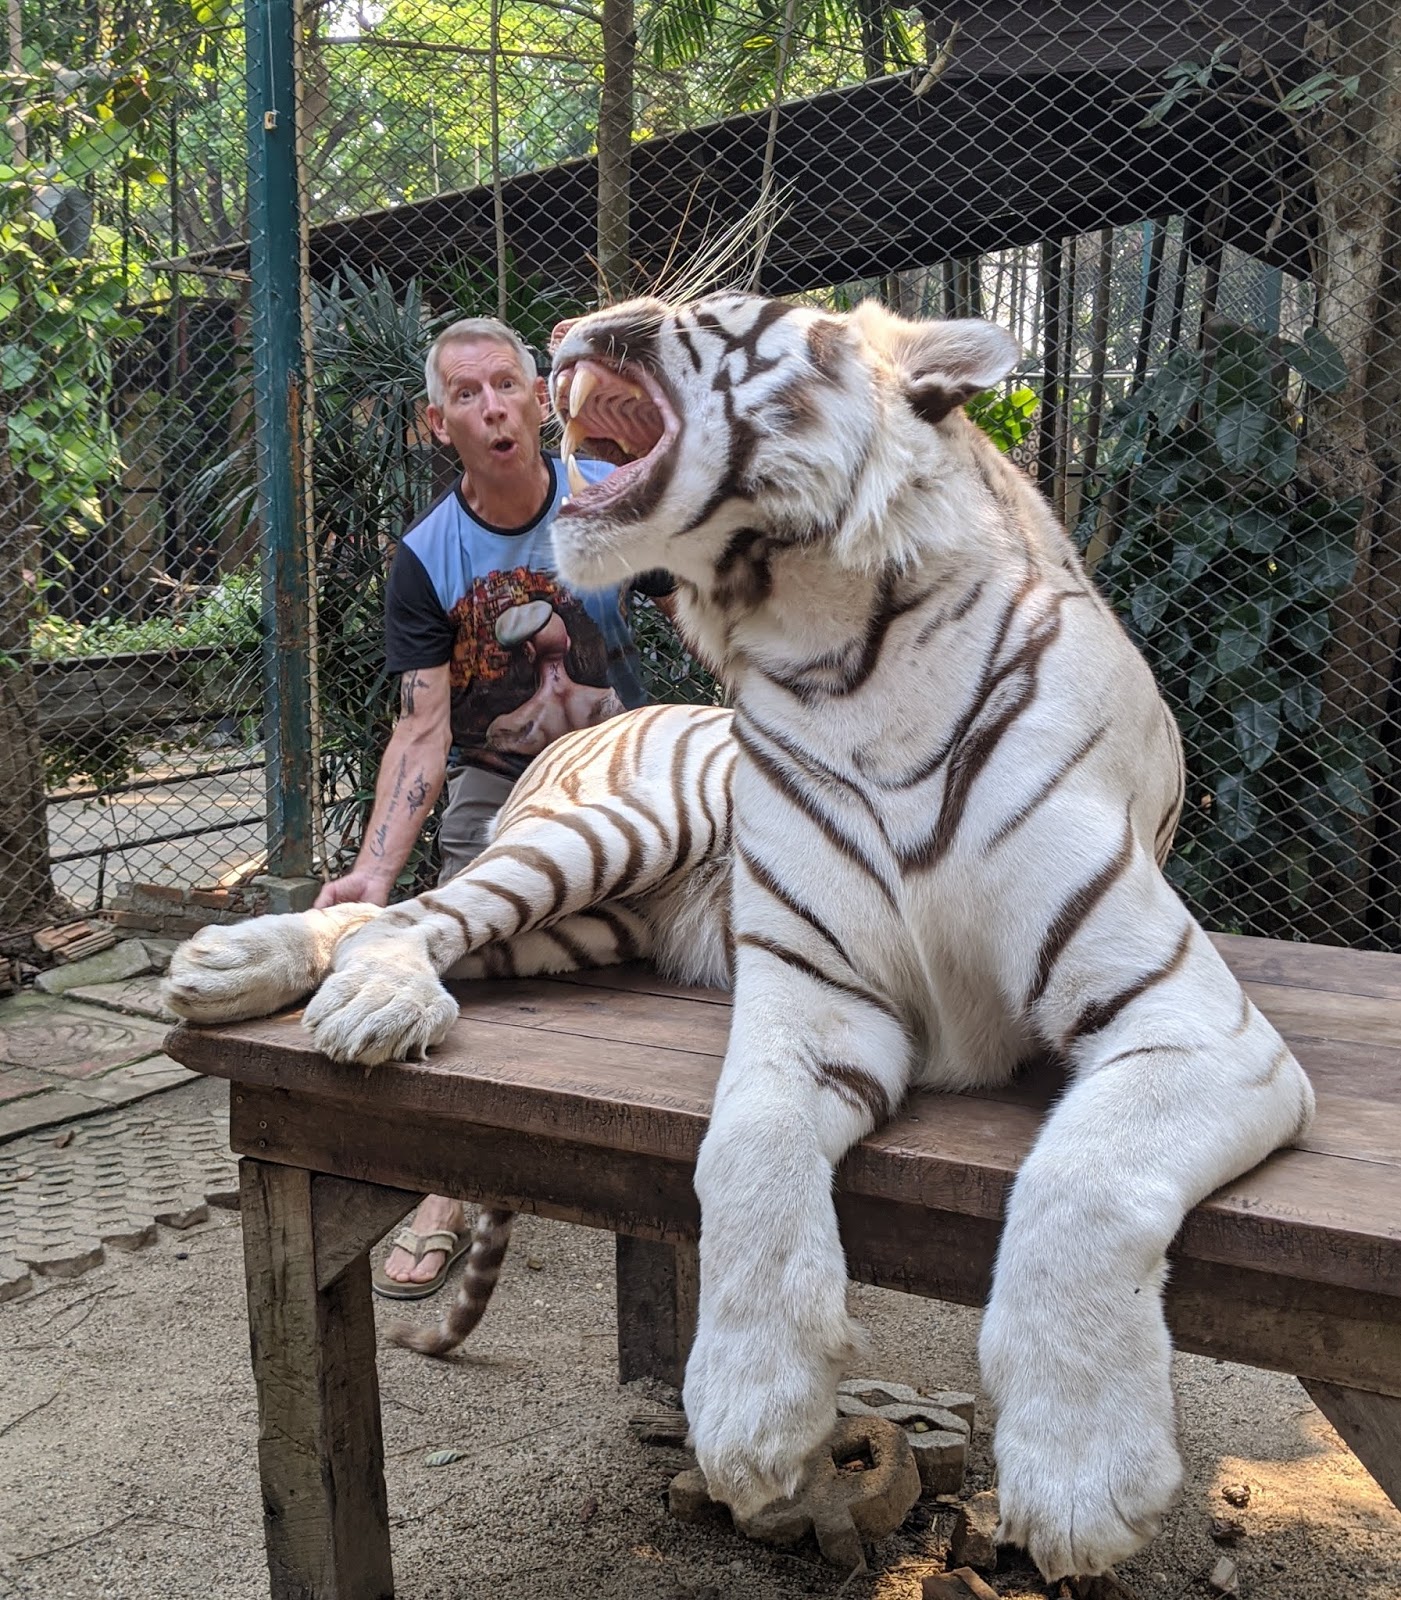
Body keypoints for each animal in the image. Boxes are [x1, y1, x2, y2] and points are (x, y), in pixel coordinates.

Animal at [163, 294, 1311, 1580]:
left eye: (709, 316)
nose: (571, 325)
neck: (845, 663)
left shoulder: (1191, 1022)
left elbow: (1086, 1175)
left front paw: (1077, 1476)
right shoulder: (811, 998)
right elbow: (746, 1153)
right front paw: (752, 1414)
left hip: (581, 928)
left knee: (399, 916)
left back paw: (250, 974)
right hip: (609, 836)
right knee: (408, 910)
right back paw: (292, 983)